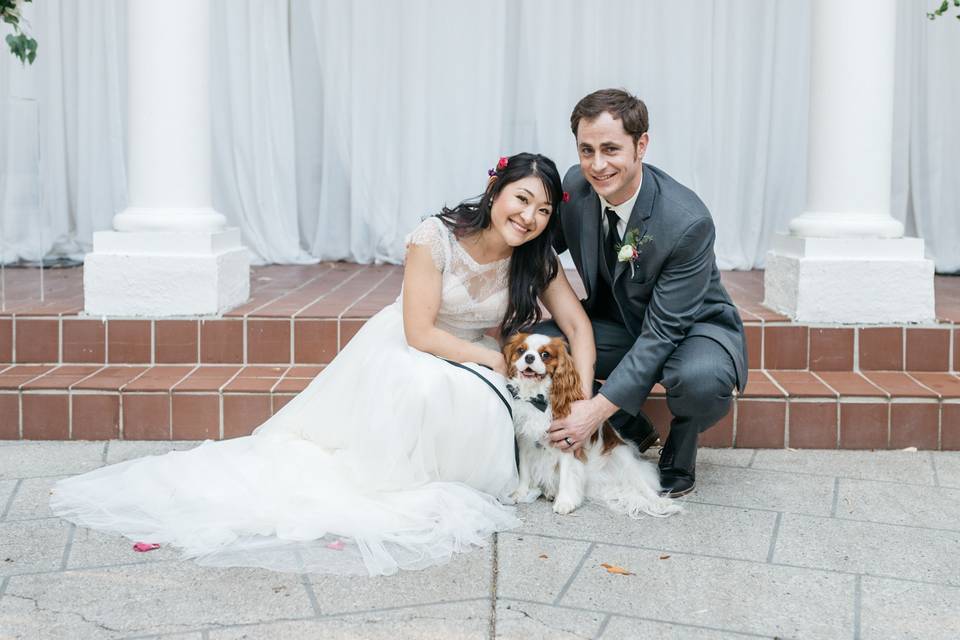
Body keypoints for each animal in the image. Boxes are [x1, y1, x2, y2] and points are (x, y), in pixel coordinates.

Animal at [502, 332, 684, 516]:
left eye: (545, 355)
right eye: (521, 350)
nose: (529, 357)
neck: (538, 398)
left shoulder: (568, 443)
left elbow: (566, 474)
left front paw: (565, 501)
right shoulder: (525, 441)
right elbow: (524, 470)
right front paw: (521, 492)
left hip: (623, 457)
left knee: (643, 485)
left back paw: (660, 501)